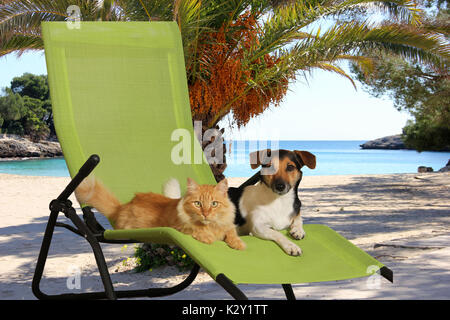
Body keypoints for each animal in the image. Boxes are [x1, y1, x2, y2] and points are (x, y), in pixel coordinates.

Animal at [75, 178, 244, 250]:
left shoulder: (228, 226)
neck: (211, 226)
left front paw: (238, 244)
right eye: (198, 204)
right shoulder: (180, 227)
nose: (206, 214)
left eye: (214, 204)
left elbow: (231, 233)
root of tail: (121, 207)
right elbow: (197, 230)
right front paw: (208, 237)